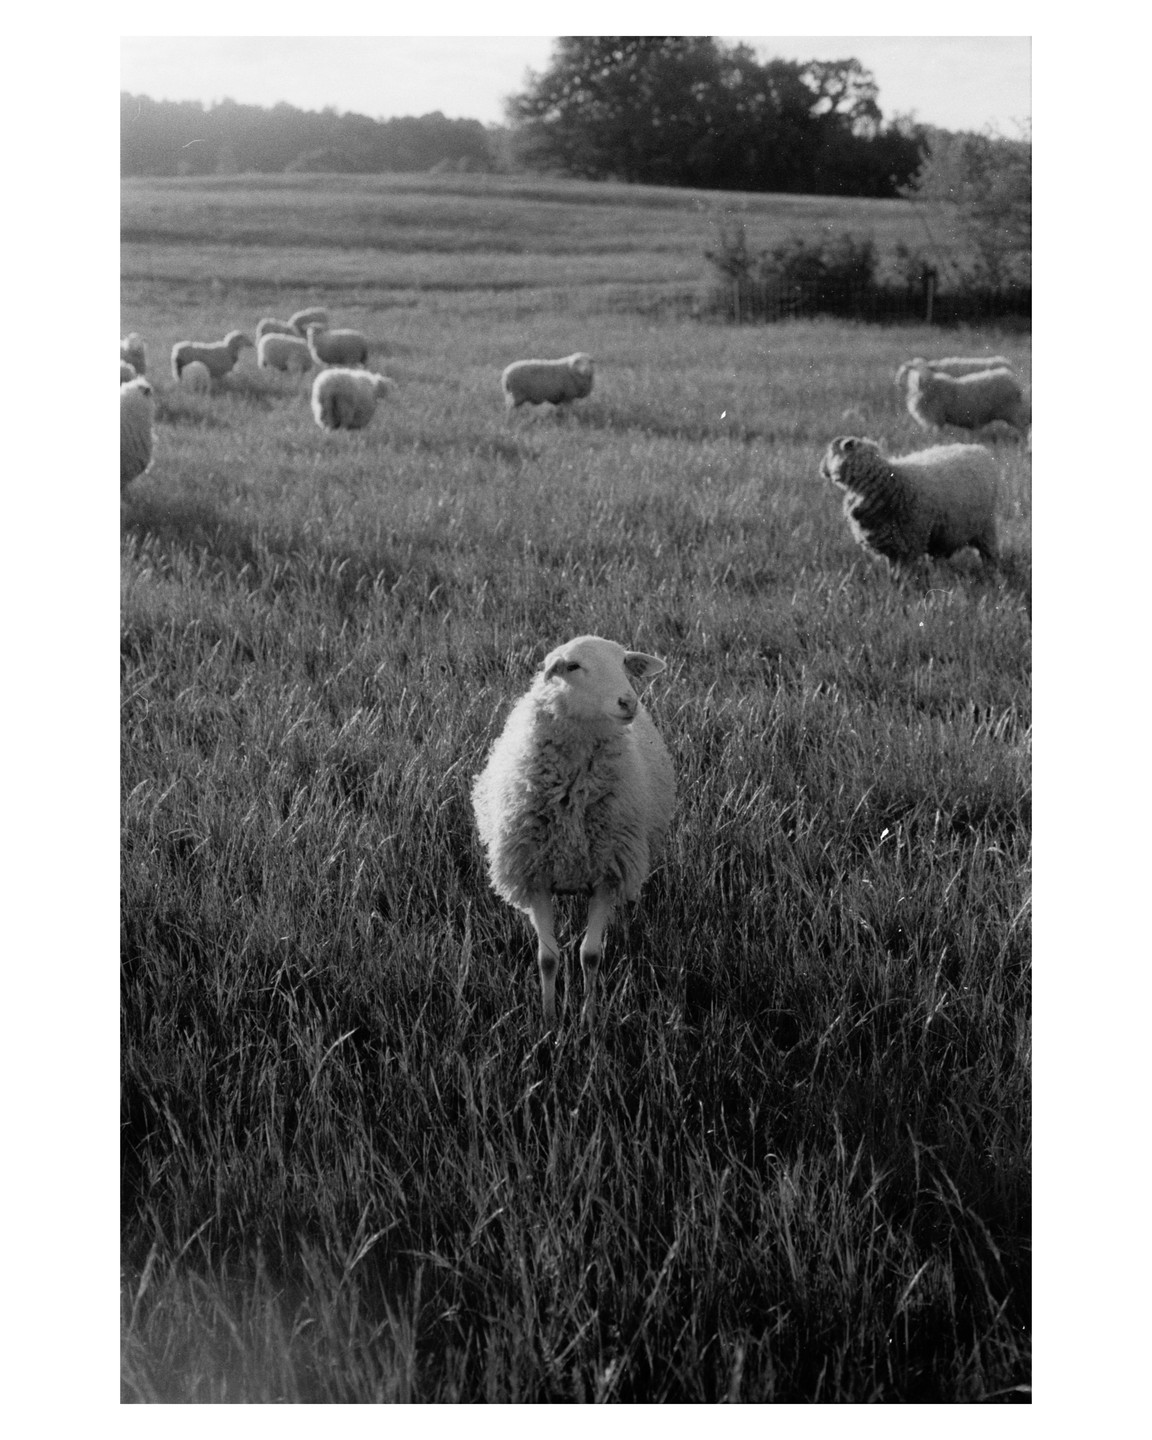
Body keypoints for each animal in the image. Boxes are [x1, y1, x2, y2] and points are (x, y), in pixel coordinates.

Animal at [471, 634, 675, 1027]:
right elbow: (548, 958)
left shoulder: (608, 875)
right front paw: (550, 1022)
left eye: (624, 662)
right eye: (573, 666)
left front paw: (588, 1021)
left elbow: (590, 955)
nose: (628, 701)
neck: (573, 797)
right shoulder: (535, 876)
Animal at [818, 435, 999, 570]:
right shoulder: (890, 543)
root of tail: (977, 448)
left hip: (986, 527)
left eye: (832, 451)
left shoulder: (908, 542)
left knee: (989, 554)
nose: (821, 469)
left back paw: (992, 574)